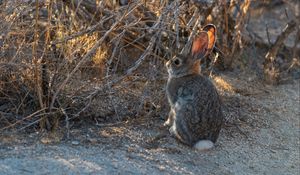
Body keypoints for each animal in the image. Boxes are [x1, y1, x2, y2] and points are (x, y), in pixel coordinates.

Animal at [163, 23, 224, 151]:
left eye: (176, 62)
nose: (167, 64)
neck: (186, 74)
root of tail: (202, 142)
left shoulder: (173, 102)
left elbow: (171, 113)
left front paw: (166, 123)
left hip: (182, 109)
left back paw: (172, 132)